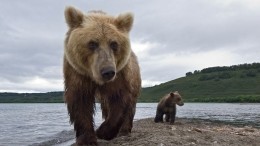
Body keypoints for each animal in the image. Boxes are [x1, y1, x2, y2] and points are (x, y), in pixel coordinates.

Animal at [62, 6, 140, 145]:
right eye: (92, 43)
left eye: (114, 43)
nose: (107, 71)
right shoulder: (77, 73)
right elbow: (80, 102)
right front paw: (87, 139)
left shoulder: (120, 74)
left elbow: (119, 98)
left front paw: (103, 132)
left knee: (130, 106)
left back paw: (124, 131)